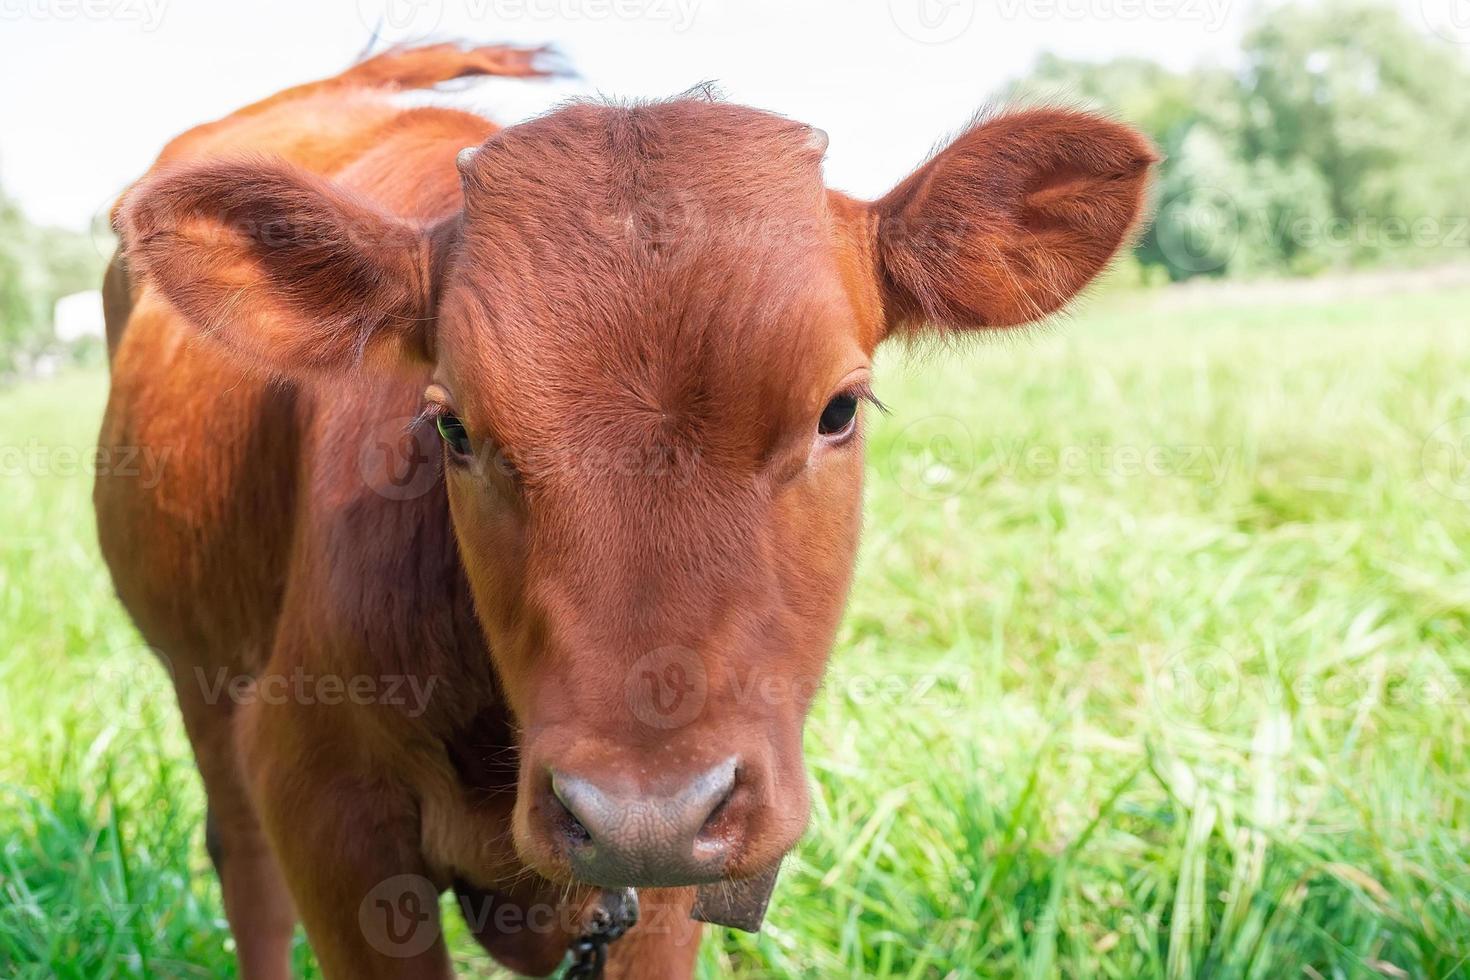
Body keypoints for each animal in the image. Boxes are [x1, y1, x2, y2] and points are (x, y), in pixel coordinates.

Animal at [94, 42, 1158, 975]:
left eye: (838, 410)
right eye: (453, 427)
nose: (644, 811)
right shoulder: (321, 797)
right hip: (203, 685)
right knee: (243, 868)